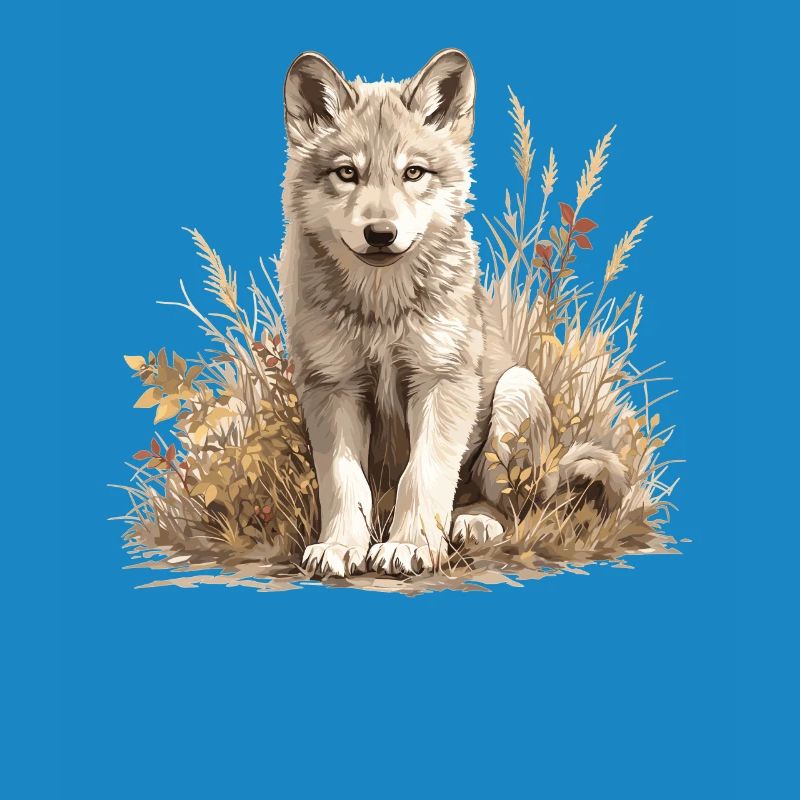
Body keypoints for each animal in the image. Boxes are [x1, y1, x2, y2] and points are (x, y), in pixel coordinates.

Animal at [279, 49, 627, 577]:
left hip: (515, 392)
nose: (380, 234)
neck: (382, 308)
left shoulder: (442, 380)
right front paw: (340, 546)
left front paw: (409, 546)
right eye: (347, 173)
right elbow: (343, 482)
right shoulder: (332, 386)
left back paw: (474, 522)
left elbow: (423, 474)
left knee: (509, 508)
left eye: (414, 173)